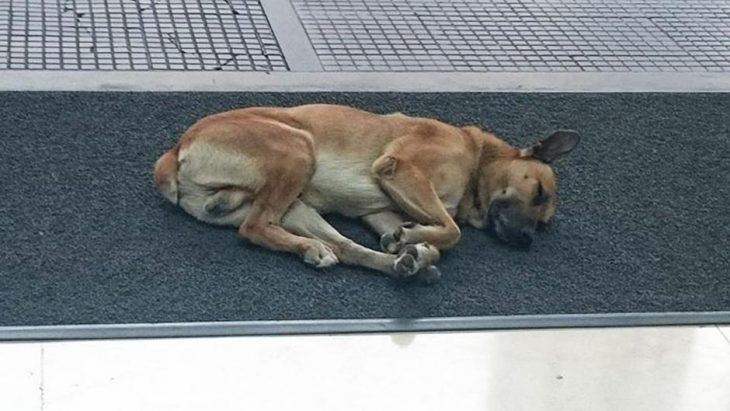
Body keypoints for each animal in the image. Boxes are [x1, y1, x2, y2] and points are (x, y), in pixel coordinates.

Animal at [154, 104, 580, 284]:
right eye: (538, 191)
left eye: (543, 222)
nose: (526, 240)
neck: (476, 158)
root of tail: (175, 150)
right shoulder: (401, 170)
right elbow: (452, 231)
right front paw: (417, 237)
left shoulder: (381, 209)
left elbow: (422, 233)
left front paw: (410, 243)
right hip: (298, 148)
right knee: (255, 228)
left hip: (297, 206)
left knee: (344, 248)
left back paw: (399, 263)